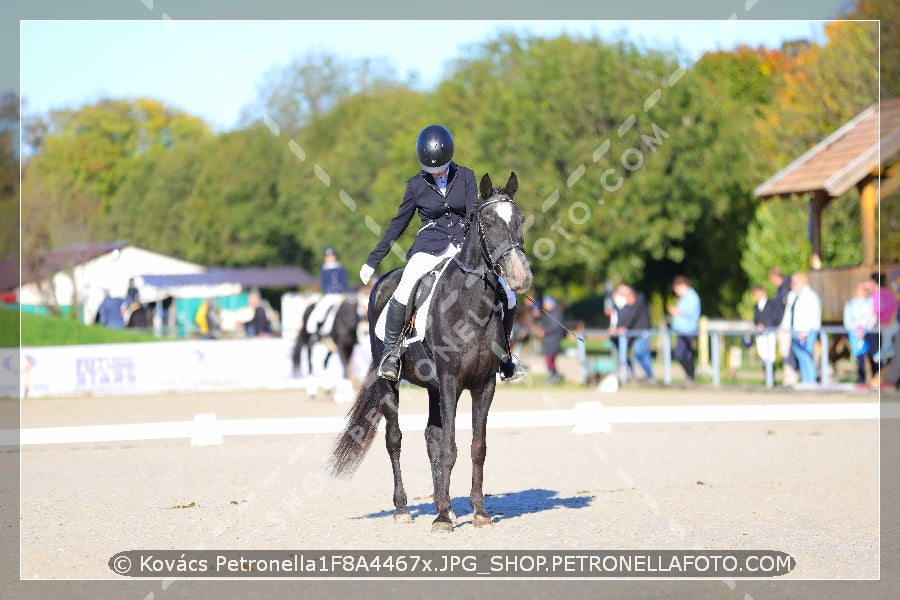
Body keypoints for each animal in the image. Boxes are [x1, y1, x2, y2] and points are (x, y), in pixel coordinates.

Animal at [326, 171, 532, 532]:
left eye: (519, 220)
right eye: (489, 222)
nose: (521, 277)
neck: (471, 303)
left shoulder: (484, 385)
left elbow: (477, 447)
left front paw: (478, 512)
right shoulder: (450, 381)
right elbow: (450, 447)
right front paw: (442, 519)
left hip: (434, 388)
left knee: (431, 438)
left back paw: (440, 503)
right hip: (391, 382)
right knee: (394, 438)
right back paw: (403, 508)